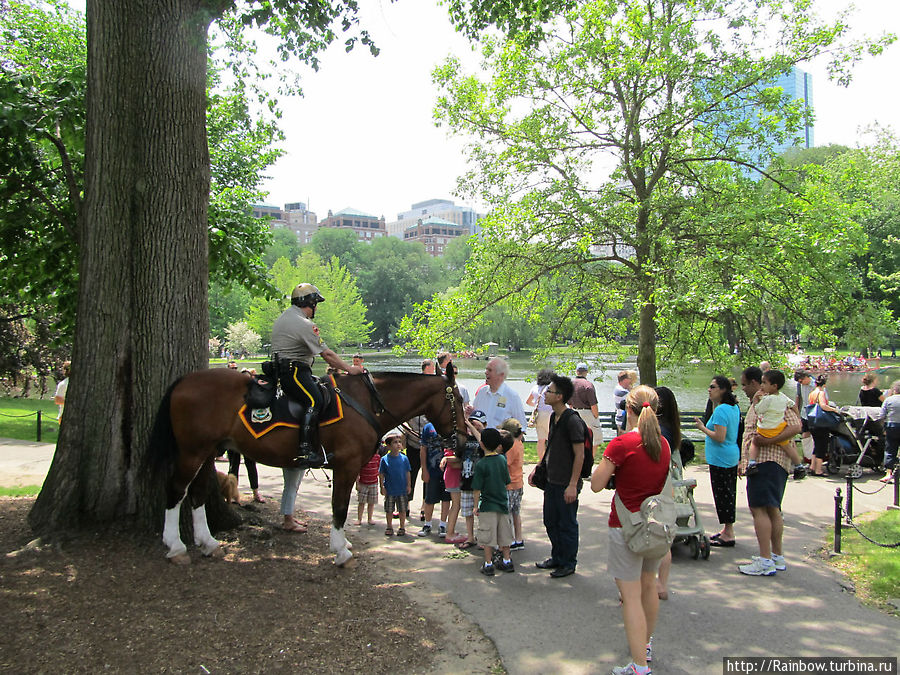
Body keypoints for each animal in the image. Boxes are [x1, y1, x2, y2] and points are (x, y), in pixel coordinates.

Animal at [149, 364, 468, 564]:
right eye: (457, 400)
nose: (465, 439)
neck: (367, 403)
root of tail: (185, 380)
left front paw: (342, 545)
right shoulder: (347, 465)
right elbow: (340, 507)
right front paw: (341, 551)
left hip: (206, 453)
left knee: (198, 493)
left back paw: (208, 543)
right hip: (192, 452)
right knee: (176, 491)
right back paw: (175, 546)